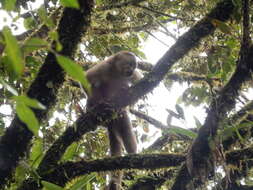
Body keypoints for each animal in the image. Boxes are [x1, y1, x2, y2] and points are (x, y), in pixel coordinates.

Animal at [84, 51, 140, 189]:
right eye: (129, 64)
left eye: (134, 66)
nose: (131, 70)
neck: (115, 72)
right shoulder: (103, 67)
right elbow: (86, 79)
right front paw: (94, 106)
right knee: (97, 86)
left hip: (120, 116)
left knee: (126, 131)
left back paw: (133, 156)